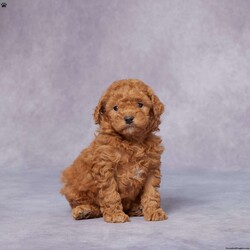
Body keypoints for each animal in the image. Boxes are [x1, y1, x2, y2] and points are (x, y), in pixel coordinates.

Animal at [59, 78, 167, 223]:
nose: (128, 118)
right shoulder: (106, 169)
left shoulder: (151, 168)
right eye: (115, 108)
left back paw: (137, 208)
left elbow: (151, 192)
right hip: (72, 186)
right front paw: (115, 215)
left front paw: (154, 211)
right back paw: (84, 210)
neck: (131, 141)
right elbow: (110, 194)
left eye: (140, 104)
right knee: (84, 204)